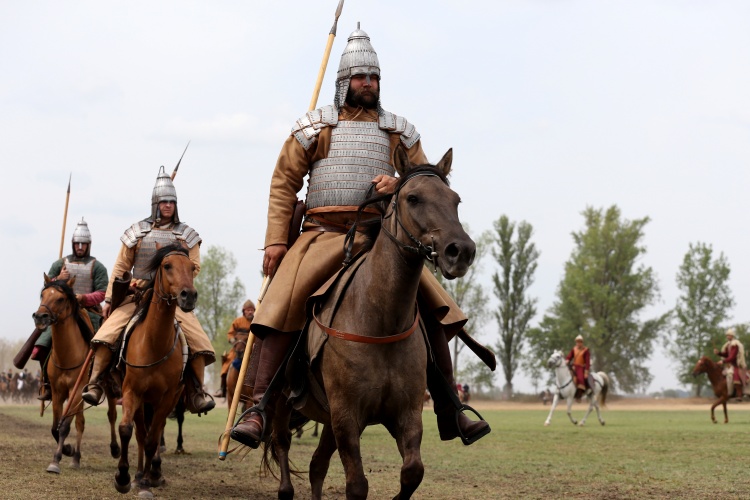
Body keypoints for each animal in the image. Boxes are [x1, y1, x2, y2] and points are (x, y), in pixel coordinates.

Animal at [32, 276, 121, 474]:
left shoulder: (77, 390)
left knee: (111, 415)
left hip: (107, 389)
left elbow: (64, 426)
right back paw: (76, 457)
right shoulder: (57, 392)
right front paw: (67, 450)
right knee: (81, 422)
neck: (67, 356)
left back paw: (114, 448)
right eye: (42, 295)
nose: (40, 317)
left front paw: (56, 460)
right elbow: (55, 427)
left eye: (60, 299)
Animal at [114, 243, 197, 496]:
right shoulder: (132, 392)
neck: (154, 344)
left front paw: (148, 481)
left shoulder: (168, 397)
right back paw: (139, 473)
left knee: (155, 432)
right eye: (167, 265)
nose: (188, 296)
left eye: (192, 267)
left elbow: (153, 439)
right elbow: (127, 430)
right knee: (141, 433)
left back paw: (153, 473)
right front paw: (123, 477)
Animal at [253, 146, 476, 498]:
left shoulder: (405, 414)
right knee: (282, 445)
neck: (381, 319)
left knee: (317, 465)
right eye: (413, 198)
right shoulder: (346, 416)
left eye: (455, 200)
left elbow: (412, 471)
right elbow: (357, 485)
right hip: (283, 405)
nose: (461, 251)